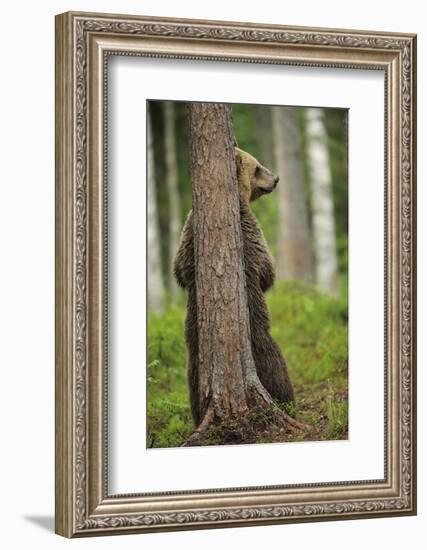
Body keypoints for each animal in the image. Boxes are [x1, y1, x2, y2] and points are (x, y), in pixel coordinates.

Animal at [173, 147, 294, 426]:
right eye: (258, 167)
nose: (276, 179)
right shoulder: (250, 230)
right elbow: (266, 270)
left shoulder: (188, 232)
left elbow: (179, 269)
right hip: (258, 336)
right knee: (275, 363)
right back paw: (287, 401)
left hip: (193, 354)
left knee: (193, 381)